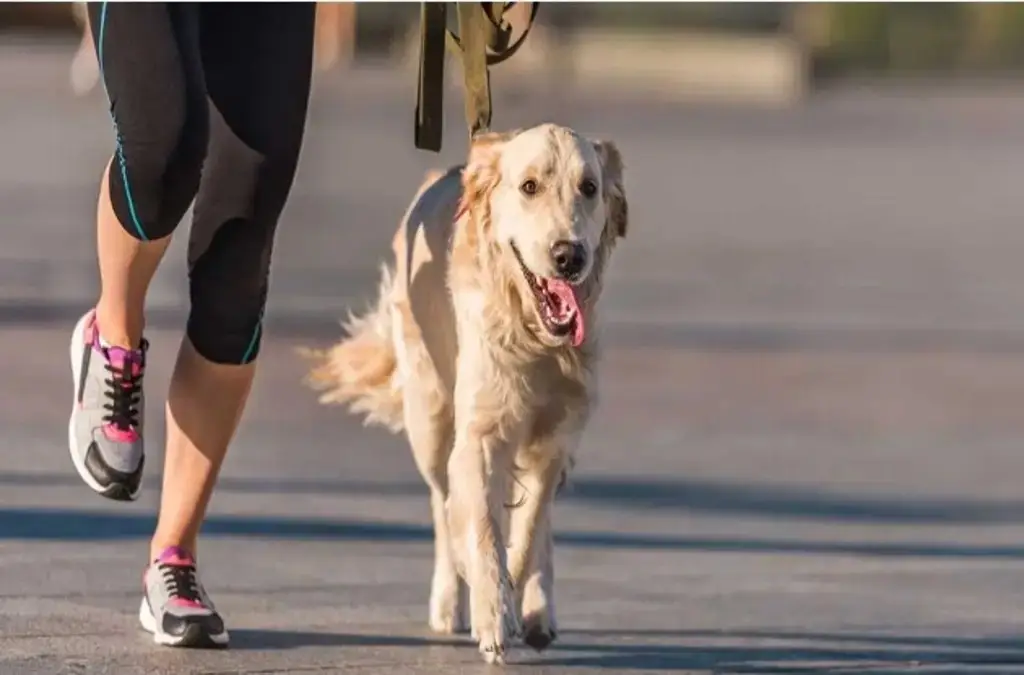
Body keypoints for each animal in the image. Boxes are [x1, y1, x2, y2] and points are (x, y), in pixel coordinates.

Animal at [299, 122, 626, 663]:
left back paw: (538, 609)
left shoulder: (556, 437)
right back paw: (450, 599)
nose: (569, 255)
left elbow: (528, 529)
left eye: (589, 188)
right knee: (443, 502)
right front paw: (491, 611)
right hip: (431, 418)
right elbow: (480, 528)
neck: (535, 338)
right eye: (529, 186)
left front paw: (517, 601)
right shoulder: (480, 434)